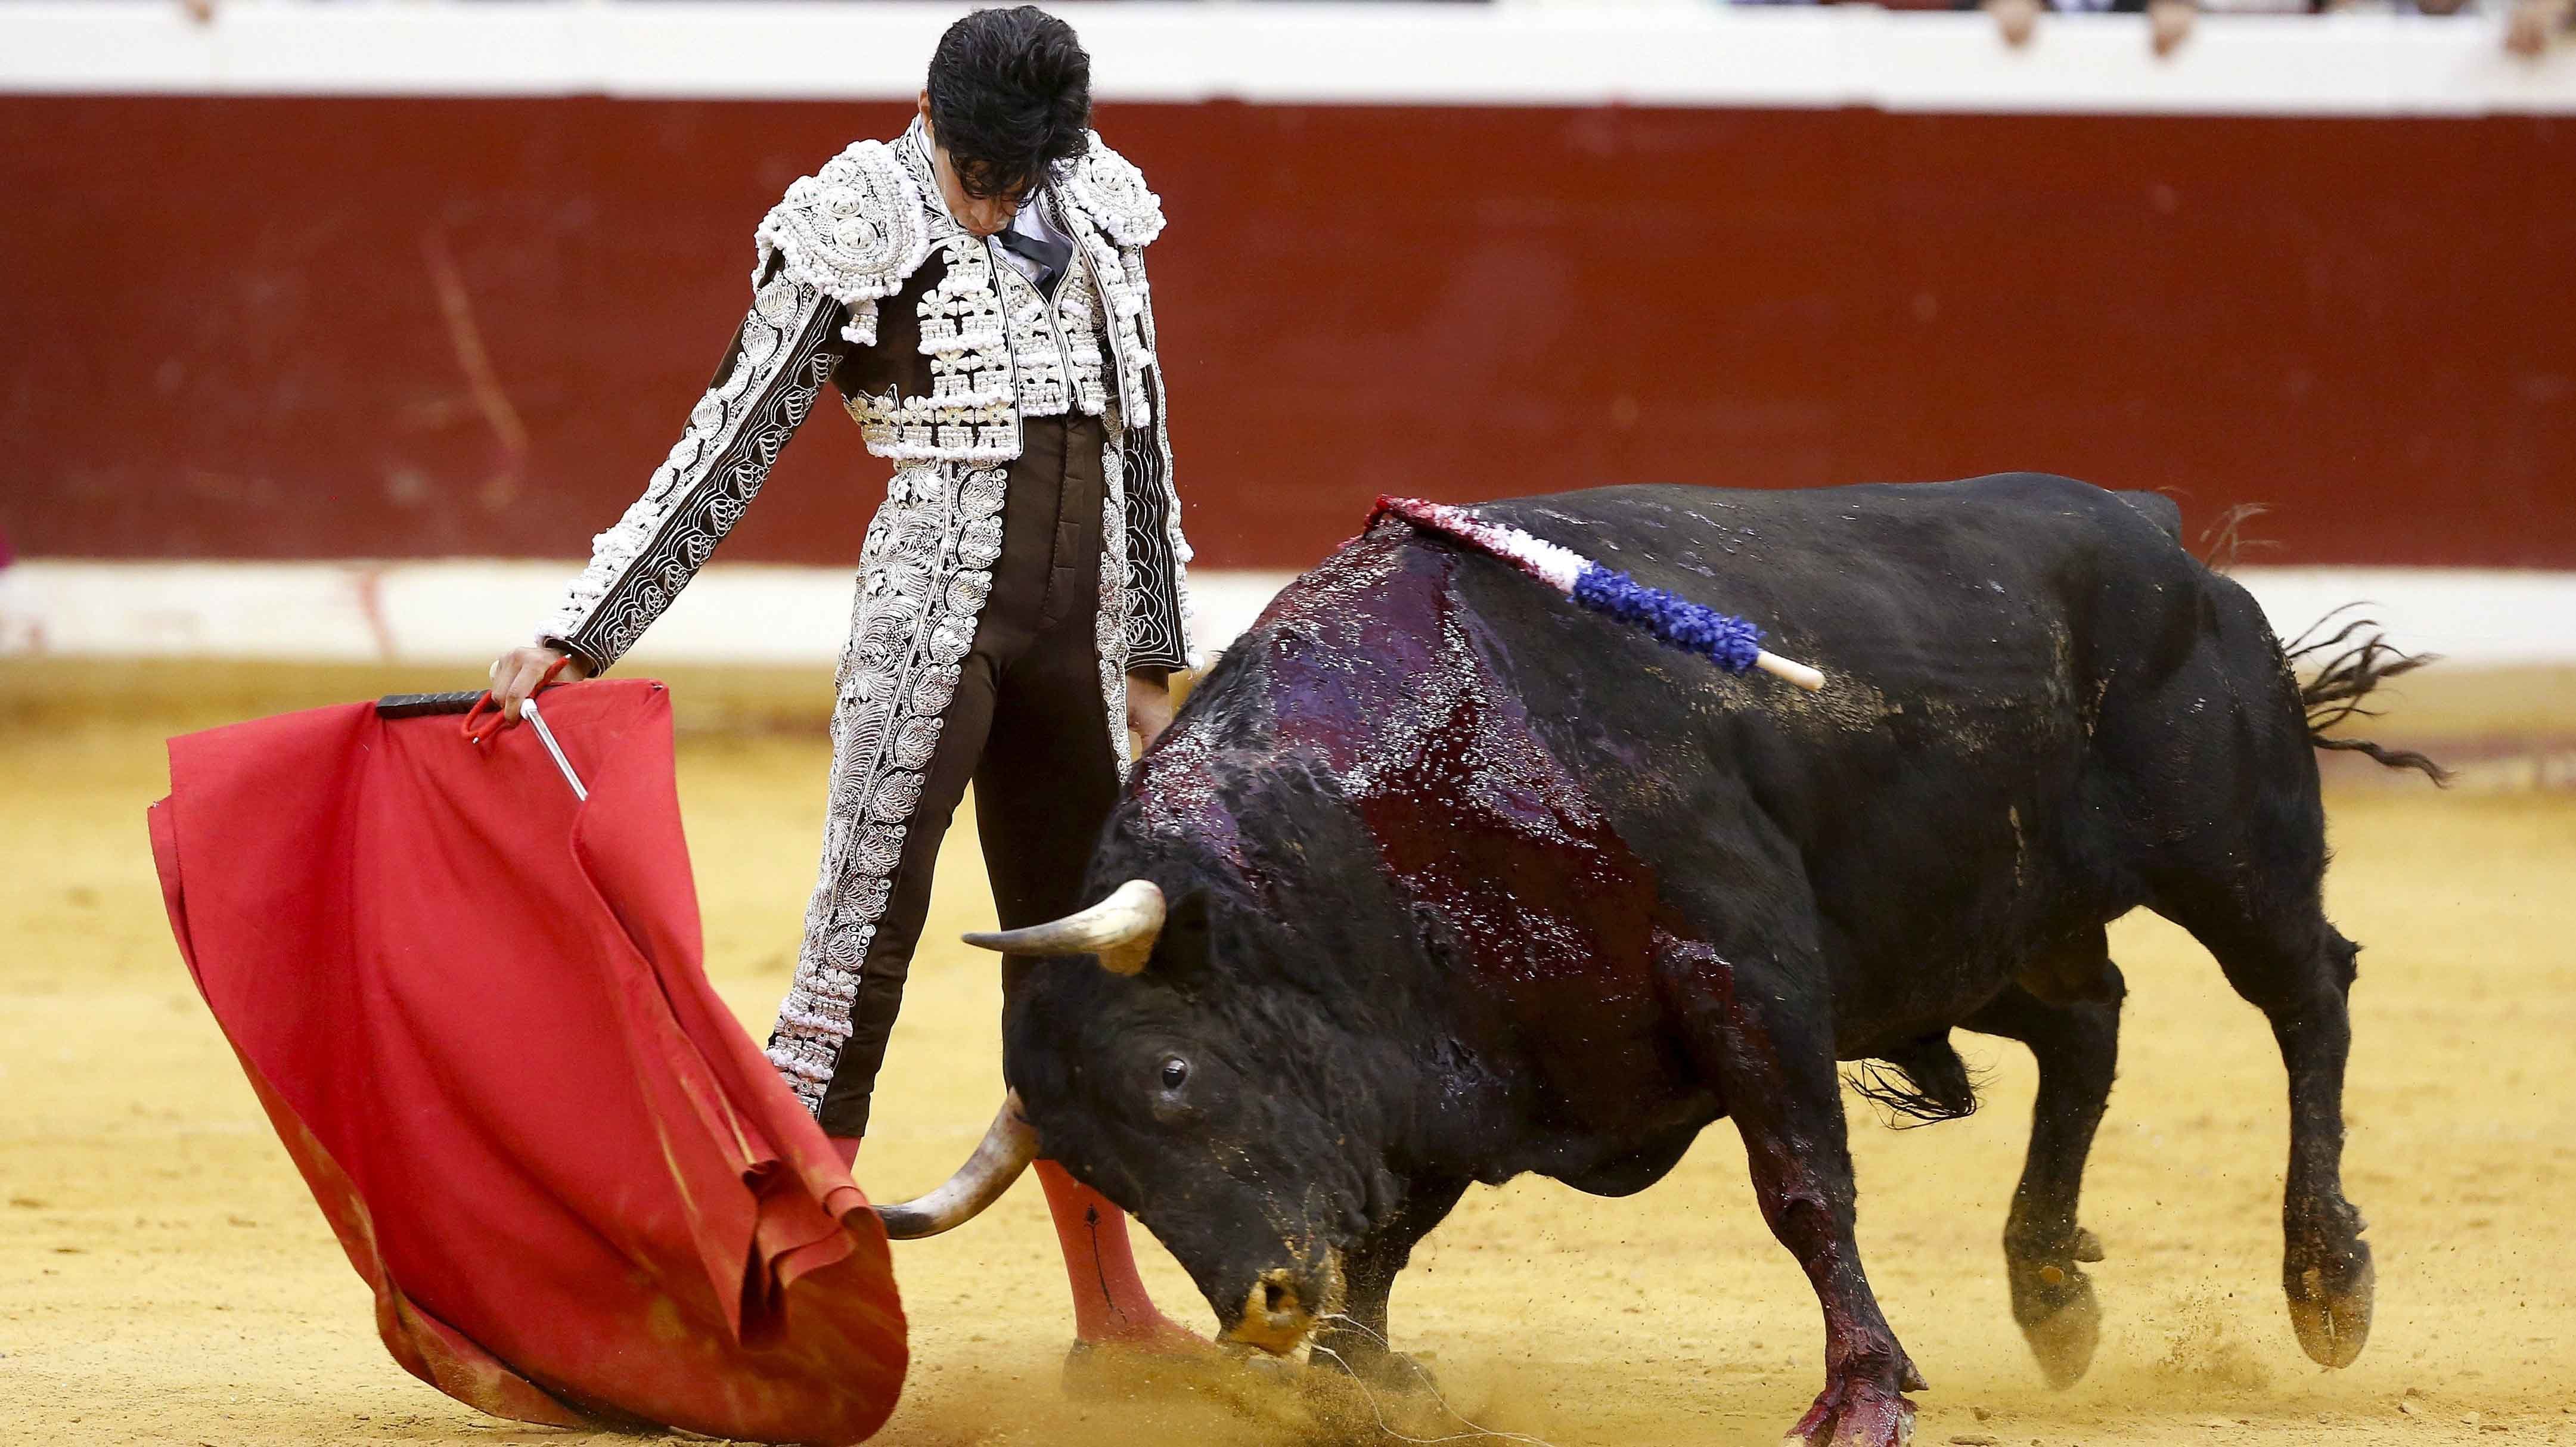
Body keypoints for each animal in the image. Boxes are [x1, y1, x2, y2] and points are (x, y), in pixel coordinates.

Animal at [870, 476, 2431, 1442]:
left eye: (1174, 1074)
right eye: (1105, 1169)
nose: (1258, 1309)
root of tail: (2157, 533)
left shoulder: (1747, 970)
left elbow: (1801, 1188)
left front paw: (1861, 1394)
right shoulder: (1465, 1051)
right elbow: (1384, 1233)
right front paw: (1367, 1374)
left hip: (2227, 850)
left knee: (2310, 995)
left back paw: (2325, 1278)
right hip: (1960, 938)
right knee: (2088, 1027)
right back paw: (2049, 1289)